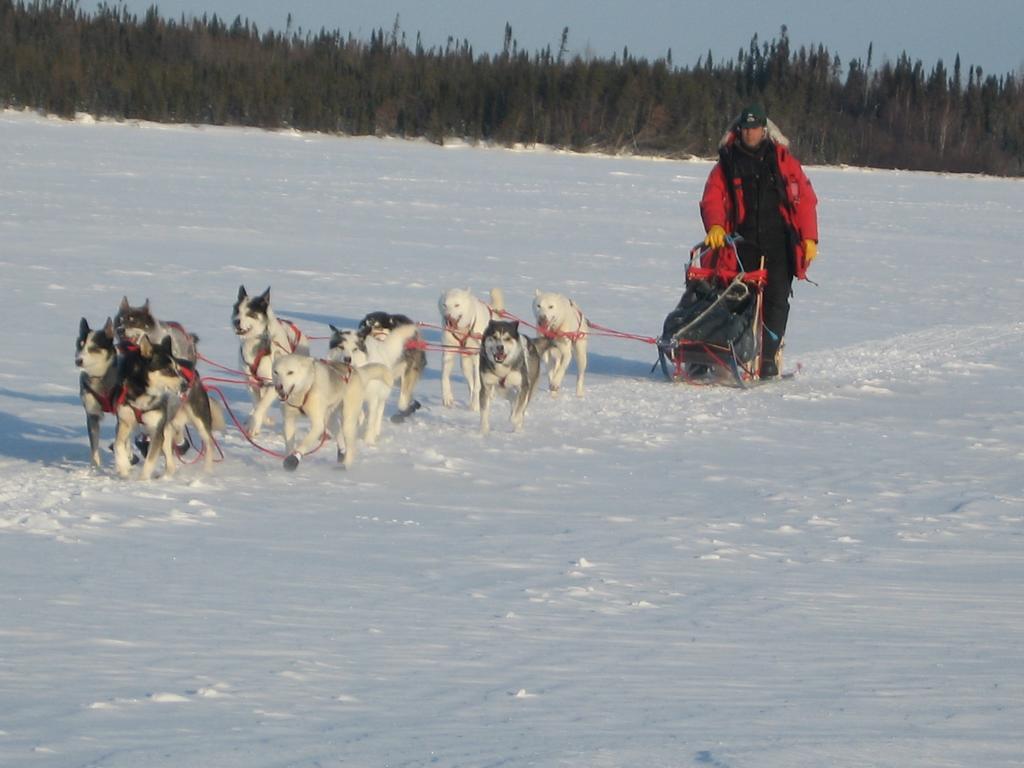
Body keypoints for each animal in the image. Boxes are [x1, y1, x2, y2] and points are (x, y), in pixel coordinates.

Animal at [233, 286, 309, 436]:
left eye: (250, 313)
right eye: (237, 310)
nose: (236, 321)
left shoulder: (272, 384)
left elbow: (261, 405)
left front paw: (254, 425)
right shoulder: (251, 383)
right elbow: (257, 404)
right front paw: (259, 421)